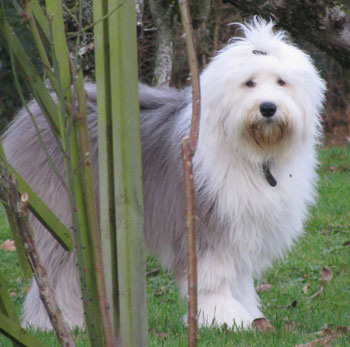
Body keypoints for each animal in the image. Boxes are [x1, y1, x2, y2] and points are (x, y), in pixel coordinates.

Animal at [2, 17, 326, 332]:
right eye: (249, 83)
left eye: (282, 82)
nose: (268, 108)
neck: (253, 154)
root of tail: (36, 111)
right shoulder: (207, 222)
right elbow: (214, 277)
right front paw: (223, 317)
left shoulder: (241, 225)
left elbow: (239, 279)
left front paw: (249, 314)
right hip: (62, 213)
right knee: (59, 271)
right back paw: (57, 323)